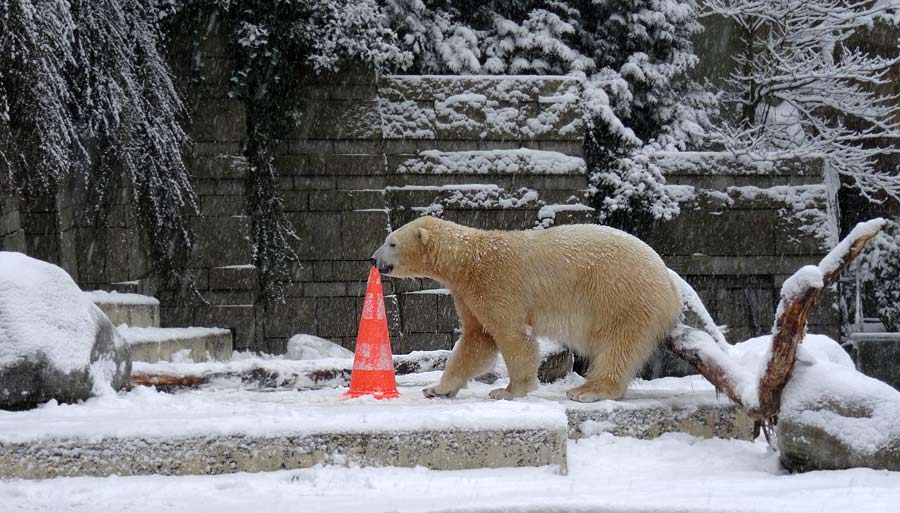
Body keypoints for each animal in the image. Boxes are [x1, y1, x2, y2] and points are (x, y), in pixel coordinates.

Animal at [372, 216, 684, 400]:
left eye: (391, 242)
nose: (374, 259)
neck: (469, 260)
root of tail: (671, 284)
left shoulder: (496, 283)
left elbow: (512, 336)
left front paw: (508, 390)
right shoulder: (468, 294)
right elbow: (477, 341)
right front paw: (437, 389)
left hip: (622, 296)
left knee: (616, 345)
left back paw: (586, 390)